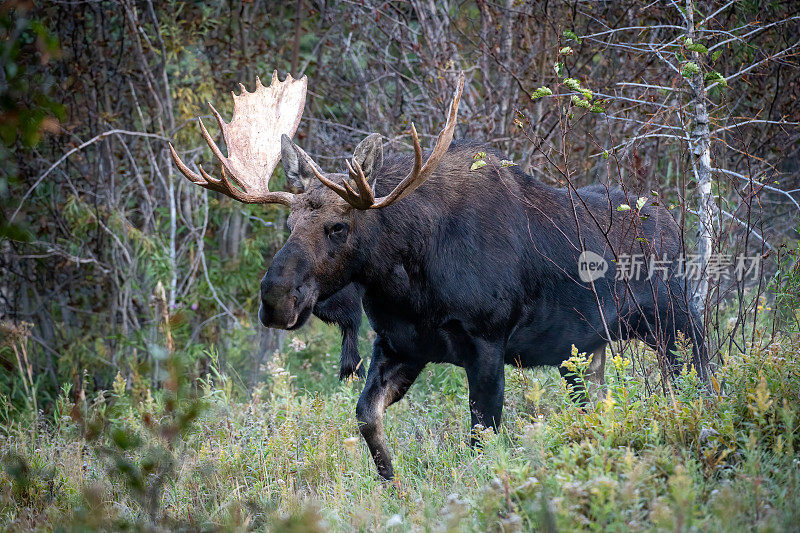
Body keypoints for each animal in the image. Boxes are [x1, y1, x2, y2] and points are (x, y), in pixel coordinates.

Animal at [172, 69, 708, 478]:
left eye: (338, 226)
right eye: (289, 223)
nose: (276, 297)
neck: (409, 282)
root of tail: (672, 221)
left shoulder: (488, 343)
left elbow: (480, 438)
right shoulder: (399, 346)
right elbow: (367, 419)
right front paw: (393, 480)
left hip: (677, 320)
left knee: (700, 373)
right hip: (579, 353)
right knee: (594, 399)